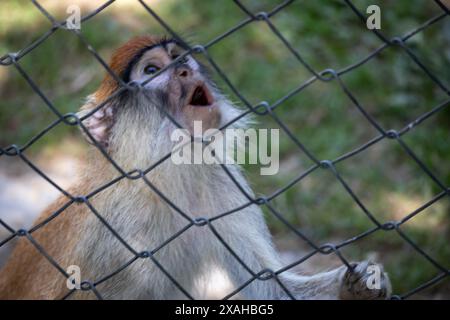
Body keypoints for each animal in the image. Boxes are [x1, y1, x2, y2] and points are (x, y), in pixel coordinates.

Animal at [0, 35, 390, 300]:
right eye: (153, 70)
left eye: (178, 57)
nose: (186, 68)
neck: (166, 176)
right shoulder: (112, 237)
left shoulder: (220, 182)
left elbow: (267, 287)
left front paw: (359, 285)